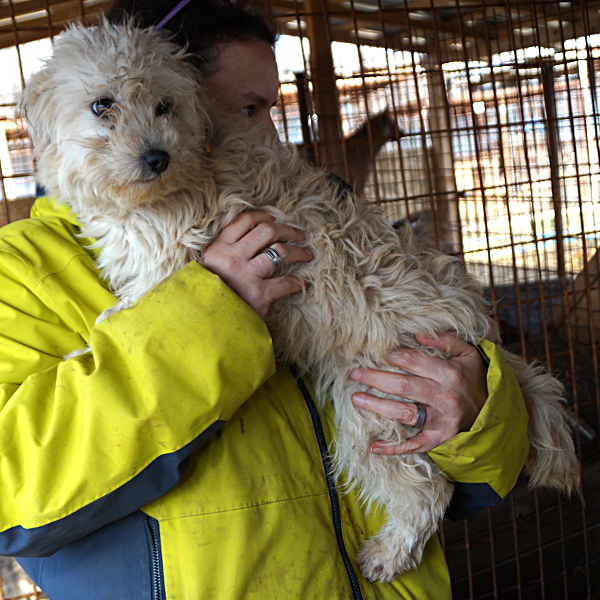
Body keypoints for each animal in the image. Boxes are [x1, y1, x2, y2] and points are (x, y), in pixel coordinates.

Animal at [21, 18, 580, 580]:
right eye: (102, 104)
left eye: (164, 105)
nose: (157, 157)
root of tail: (479, 327)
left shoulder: (172, 257)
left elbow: (136, 306)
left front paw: (91, 342)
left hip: (374, 399)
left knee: (428, 489)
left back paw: (385, 555)